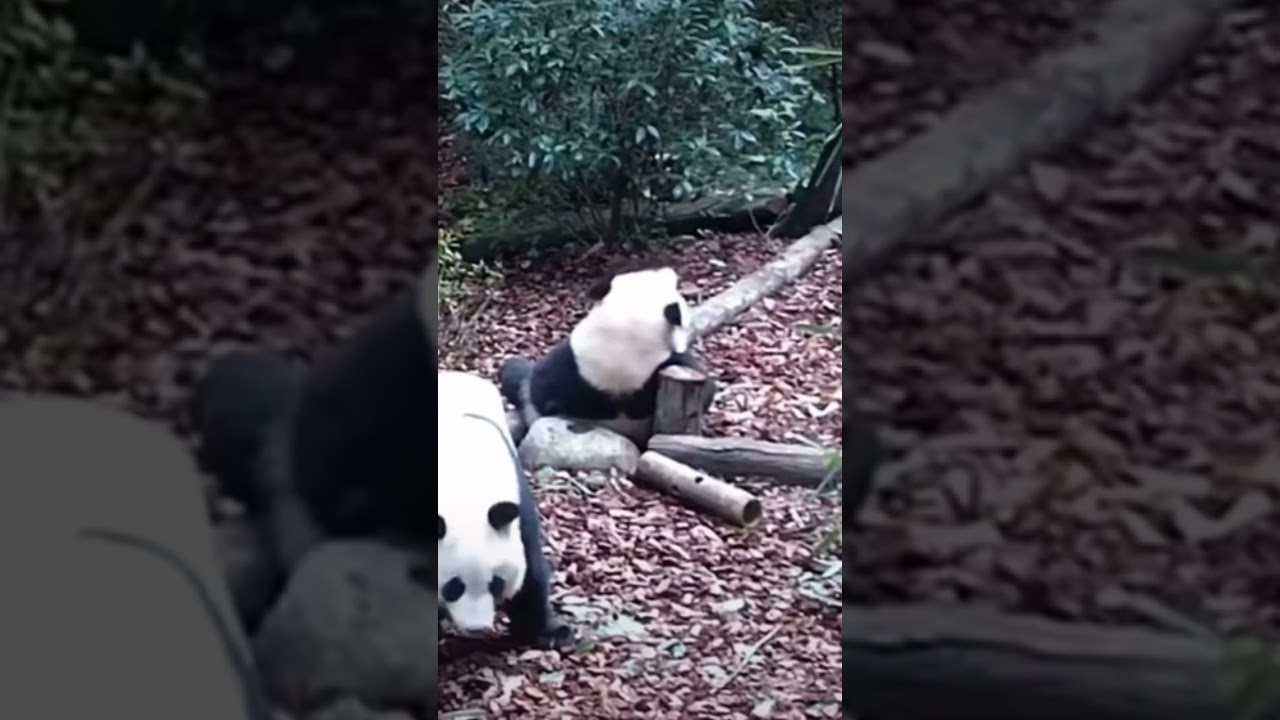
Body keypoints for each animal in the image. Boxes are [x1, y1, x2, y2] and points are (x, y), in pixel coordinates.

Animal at [436, 370, 572, 647]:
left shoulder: (519, 506)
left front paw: (551, 633)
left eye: (495, 583)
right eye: (454, 586)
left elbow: (531, 574)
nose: (476, 628)